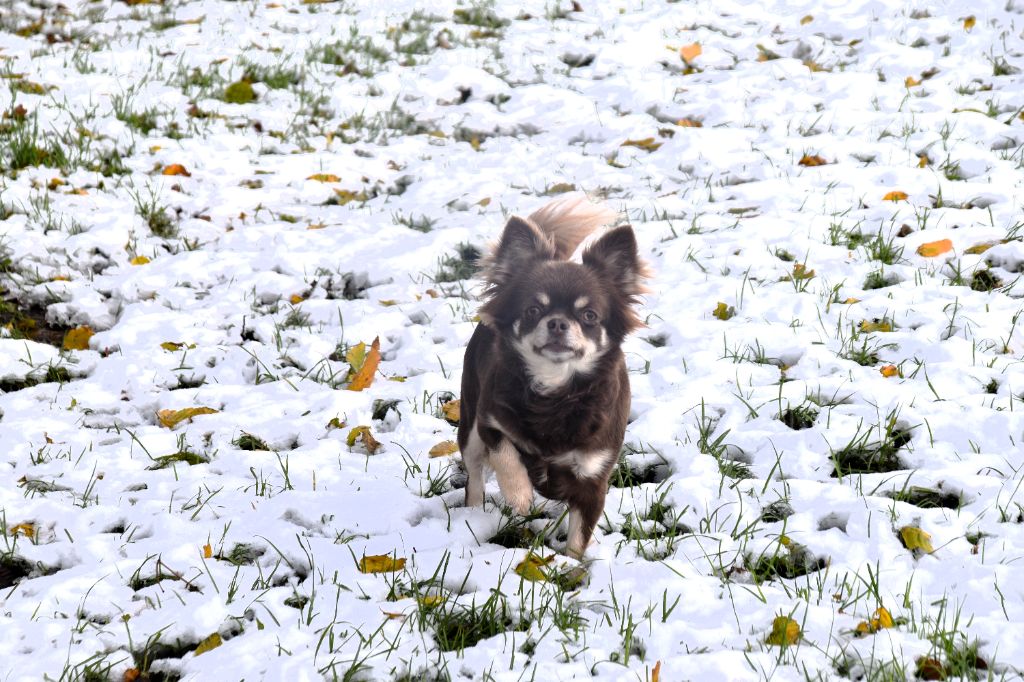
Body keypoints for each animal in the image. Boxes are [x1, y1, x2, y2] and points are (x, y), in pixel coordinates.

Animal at [456, 193, 647, 557]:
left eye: (589, 316)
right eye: (533, 310)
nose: (558, 322)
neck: (555, 392)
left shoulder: (592, 479)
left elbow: (579, 536)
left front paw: (572, 565)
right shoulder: (491, 422)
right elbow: (506, 455)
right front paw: (519, 495)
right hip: (470, 424)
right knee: (474, 474)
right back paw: (472, 513)